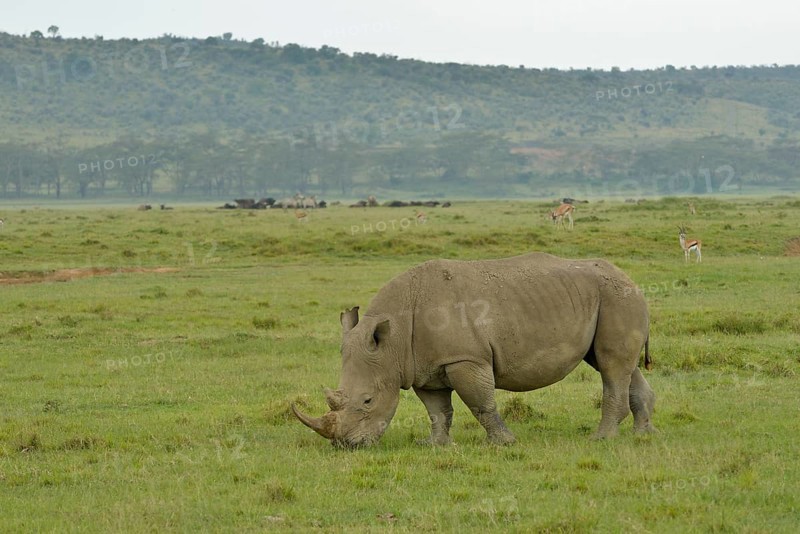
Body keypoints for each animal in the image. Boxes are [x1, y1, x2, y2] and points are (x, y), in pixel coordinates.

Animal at [293, 252, 656, 448]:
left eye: (368, 401)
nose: (345, 445)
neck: (392, 341)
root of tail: (631, 279)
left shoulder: (465, 359)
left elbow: (481, 403)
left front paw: (504, 443)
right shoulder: (422, 366)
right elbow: (438, 410)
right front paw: (434, 445)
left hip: (617, 297)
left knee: (610, 367)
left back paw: (601, 439)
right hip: (608, 299)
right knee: (617, 365)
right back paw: (643, 433)